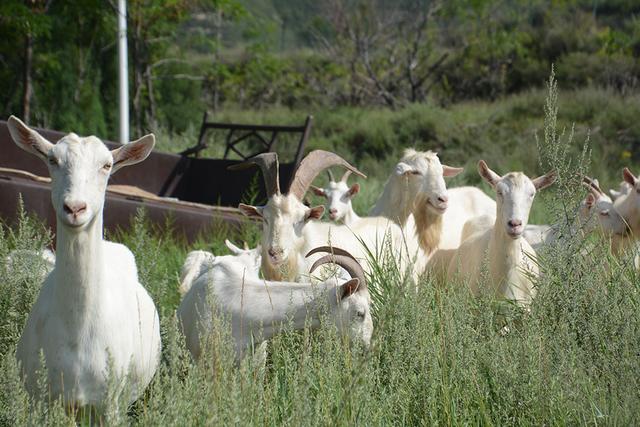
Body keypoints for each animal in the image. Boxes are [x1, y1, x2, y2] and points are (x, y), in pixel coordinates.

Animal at [7, 116, 161, 408]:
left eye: (107, 165)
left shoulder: (110, 402)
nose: (75, 208)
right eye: (52, 159)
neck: (77, 338)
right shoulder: (43, 399)